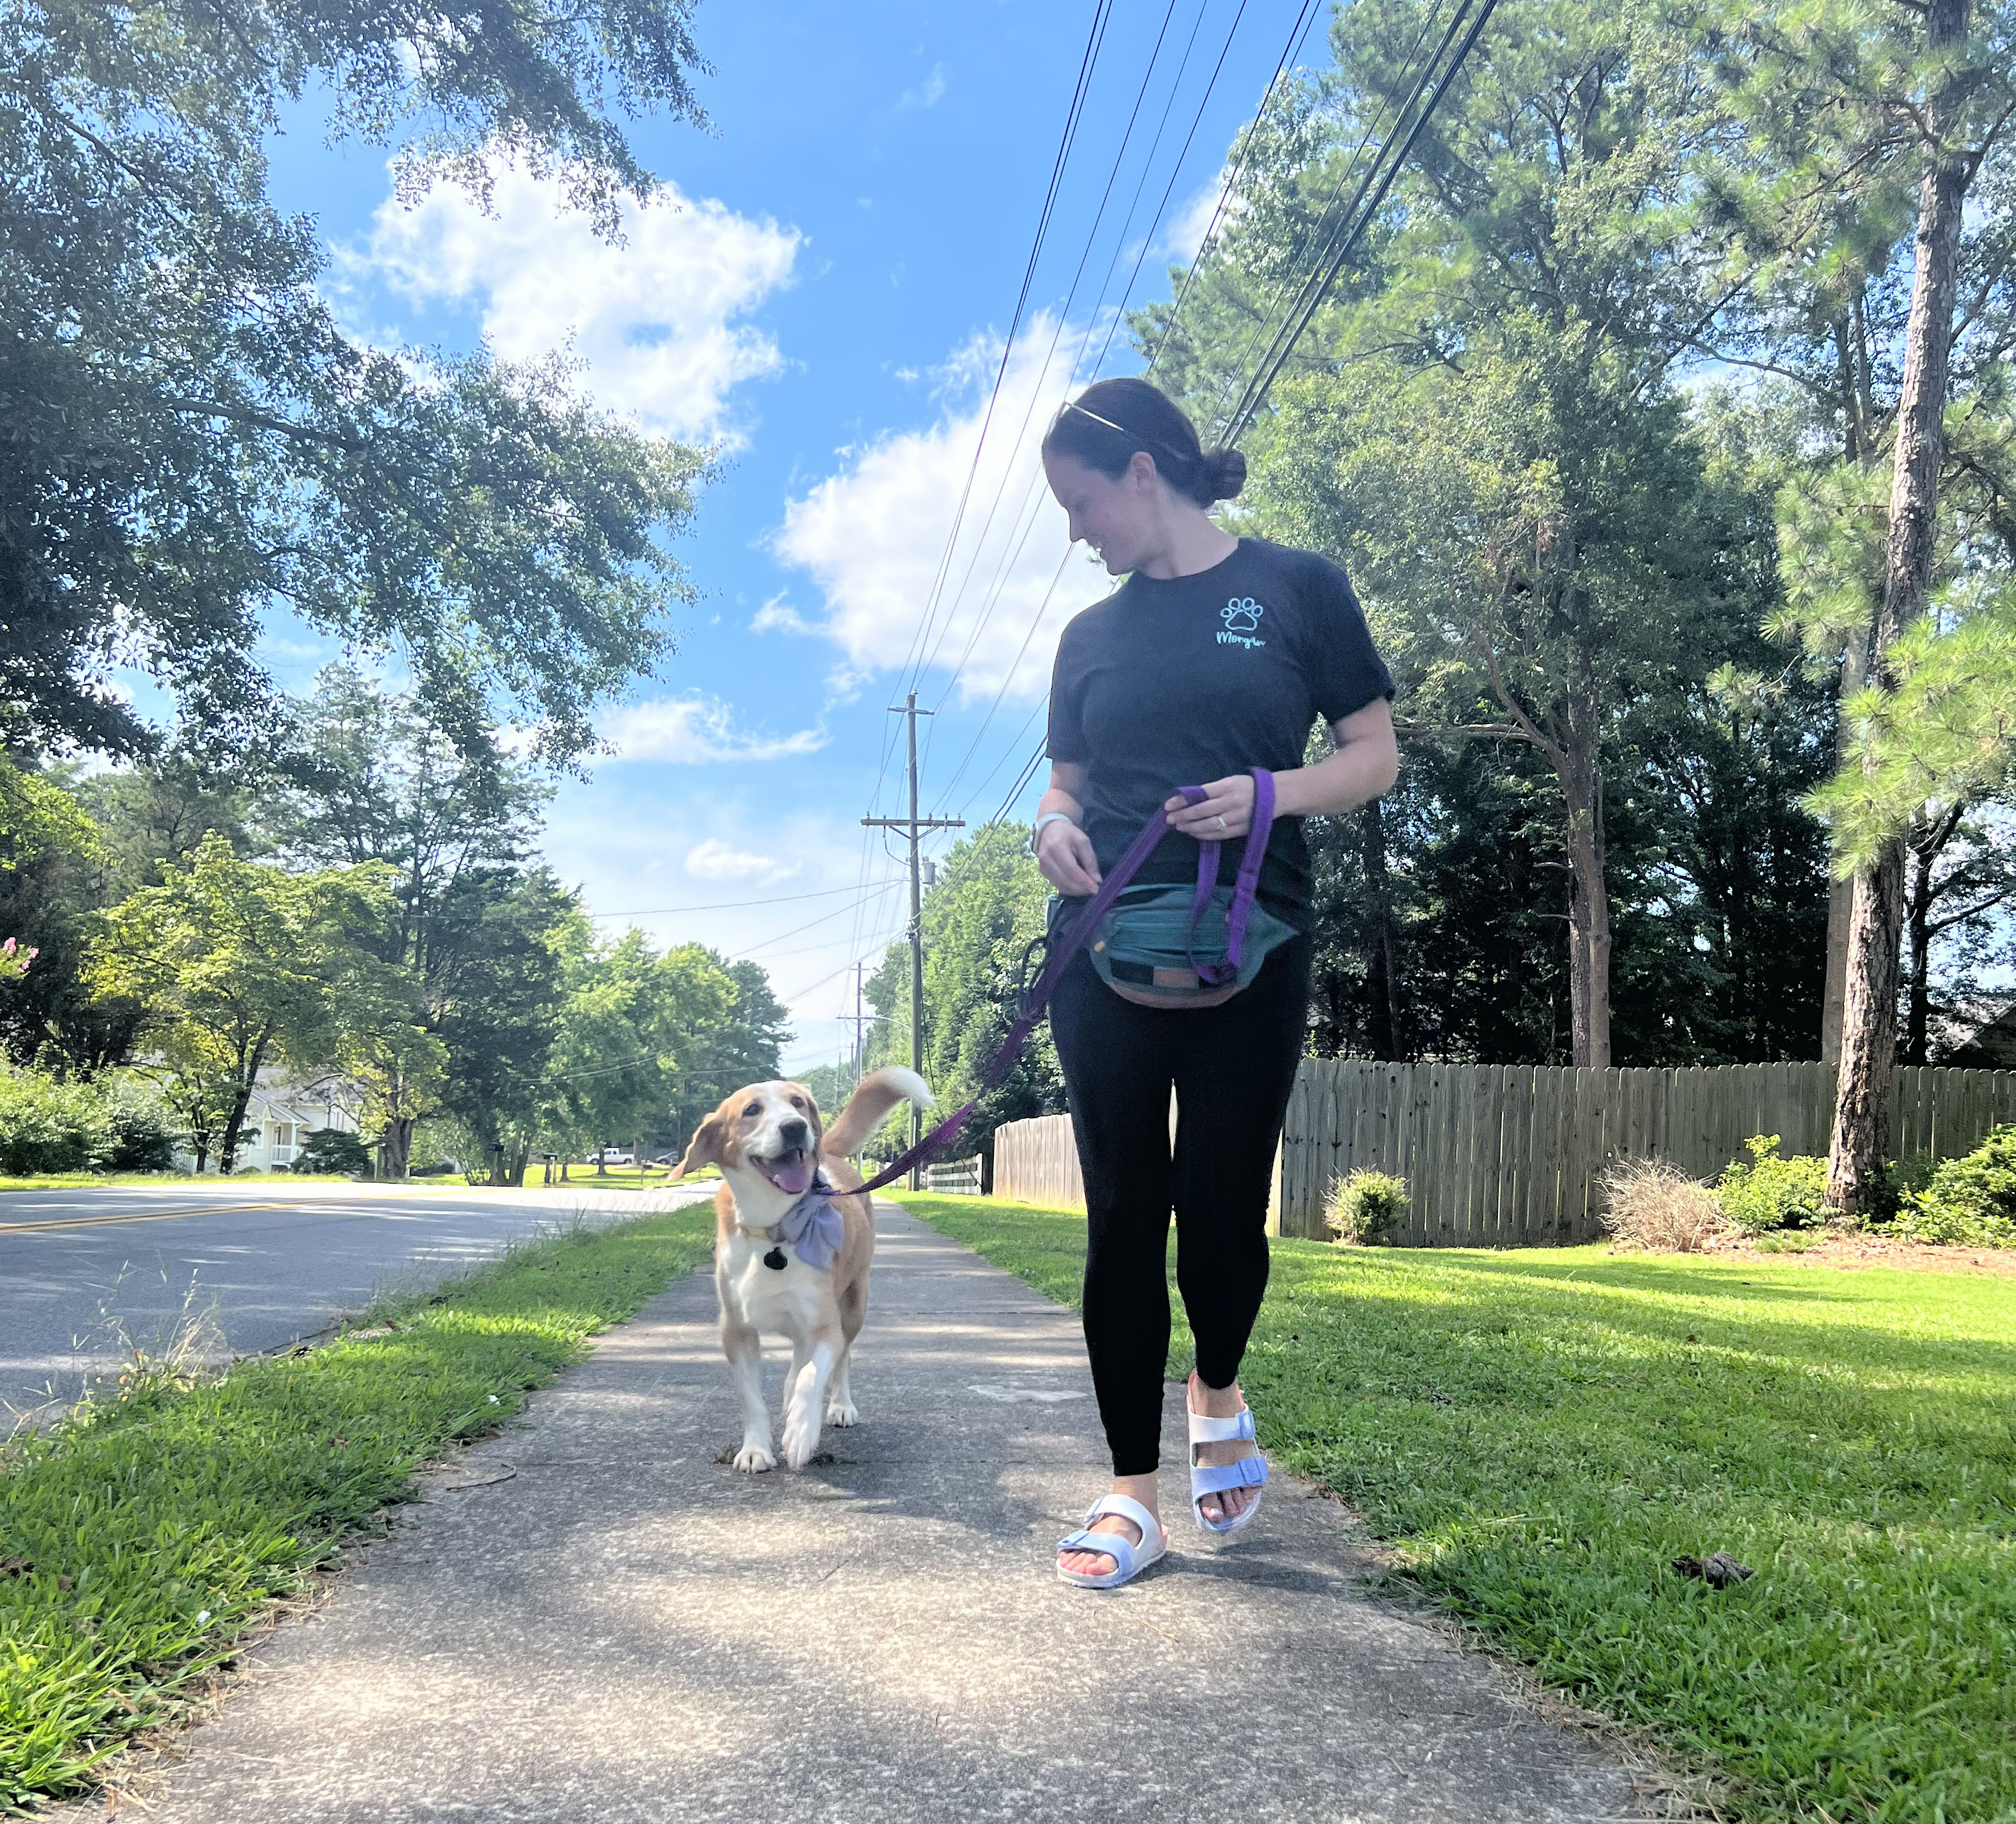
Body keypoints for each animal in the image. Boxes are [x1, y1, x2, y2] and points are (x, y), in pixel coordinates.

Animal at [673, 1064, 931, 1467]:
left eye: (797, 1102)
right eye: (752, 1110)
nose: (795, 1127)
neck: (775, 1228)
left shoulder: (826, 1326)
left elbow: (815, 1373)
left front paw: (801, 1432)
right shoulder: (736, 1330)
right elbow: (753, 1398)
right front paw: (755, 1450)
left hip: (853, 1305)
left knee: (840, 1361)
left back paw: (839, 1405)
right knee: (798, 1358)